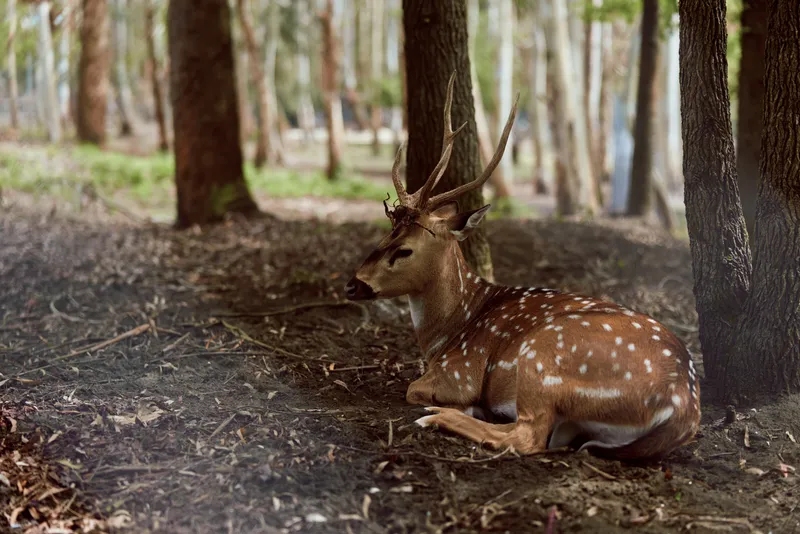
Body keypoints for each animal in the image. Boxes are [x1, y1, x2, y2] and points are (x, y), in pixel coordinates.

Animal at [344, 72, 701, 461]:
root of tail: (681, 406)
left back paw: (438, 416)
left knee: (527, 436)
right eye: (386, 233)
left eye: (405, 249)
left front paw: (457, 404)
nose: (353, 284)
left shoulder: (461, 370)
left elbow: (413, 388)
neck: (448, 332)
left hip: (542, 355)